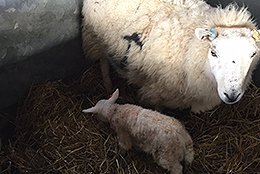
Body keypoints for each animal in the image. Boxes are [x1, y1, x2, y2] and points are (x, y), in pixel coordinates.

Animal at [82, 0, 260, 113]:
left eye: (253, 54)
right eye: (213, 52)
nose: (232, 95)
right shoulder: (156, 89)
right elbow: (158, 108)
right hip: (95, 36)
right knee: (103, 61)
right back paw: (107, 85)